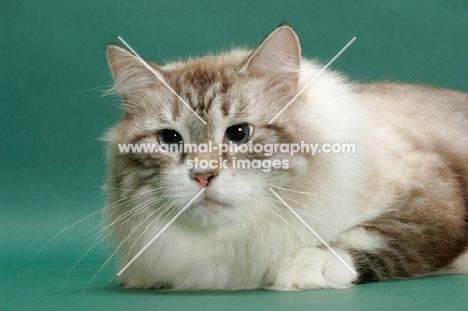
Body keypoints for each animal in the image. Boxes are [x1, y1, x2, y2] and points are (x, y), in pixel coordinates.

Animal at [102, 23, 468, 290]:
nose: (202, 175)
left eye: (239, 133)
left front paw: (306, 265)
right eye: (170, 139)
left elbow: (368, 235)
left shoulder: (433, 198)